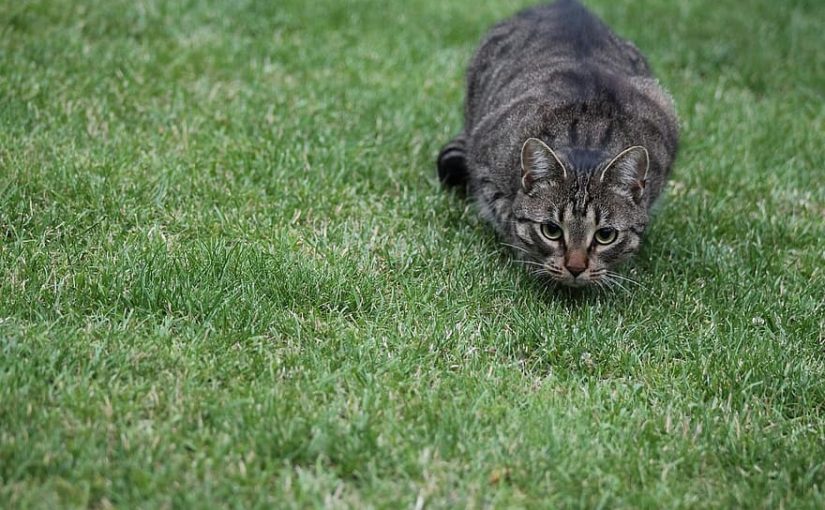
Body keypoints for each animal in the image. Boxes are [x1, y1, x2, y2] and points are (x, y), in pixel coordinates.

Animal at [438, 0, 676, 286]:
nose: (575, 267)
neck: (587, 134)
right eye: (551, 230)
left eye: (605, 235)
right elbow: (509, 216)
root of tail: (564, 4)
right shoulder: (484, 162)